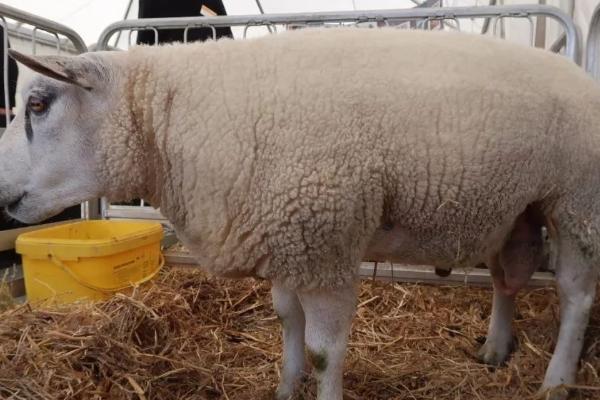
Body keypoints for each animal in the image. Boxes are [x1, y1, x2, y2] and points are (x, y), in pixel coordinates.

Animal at [0, 27, 598, 400]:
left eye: (39, 104)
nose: (1, 194)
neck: (174, 120)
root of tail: (579, 73)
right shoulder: (287, 233)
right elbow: (287, 319)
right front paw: (286, 386)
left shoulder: (324, 239)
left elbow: (324, 352)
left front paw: (316, 383)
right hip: (517, 208)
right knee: (505, 280)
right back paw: (496, 347)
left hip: (576, 202)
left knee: (575, 294)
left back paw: (557, 379)